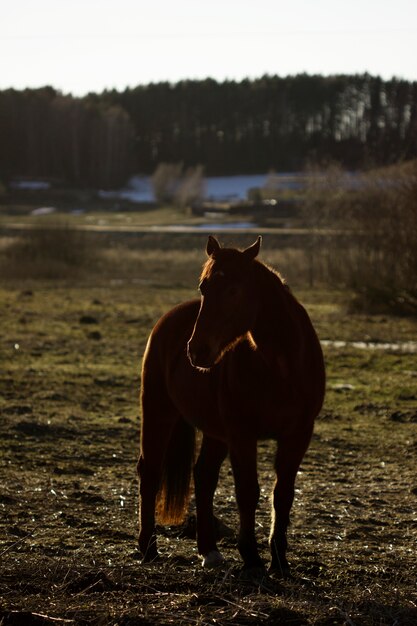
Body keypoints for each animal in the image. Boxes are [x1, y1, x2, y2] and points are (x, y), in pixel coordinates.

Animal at [137, 233, 324, 572]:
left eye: (234, 290)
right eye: (204, 287)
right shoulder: (242, 435)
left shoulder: (297, 435)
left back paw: (209, 551)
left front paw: (279, 560)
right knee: (151, 471)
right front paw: (251, 557)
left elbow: (283, 494)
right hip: (158, 411)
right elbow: (248, 491)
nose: (197, 350)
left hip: (215, 432)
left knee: (204, 476)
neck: (282, 367)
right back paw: (148, 548)